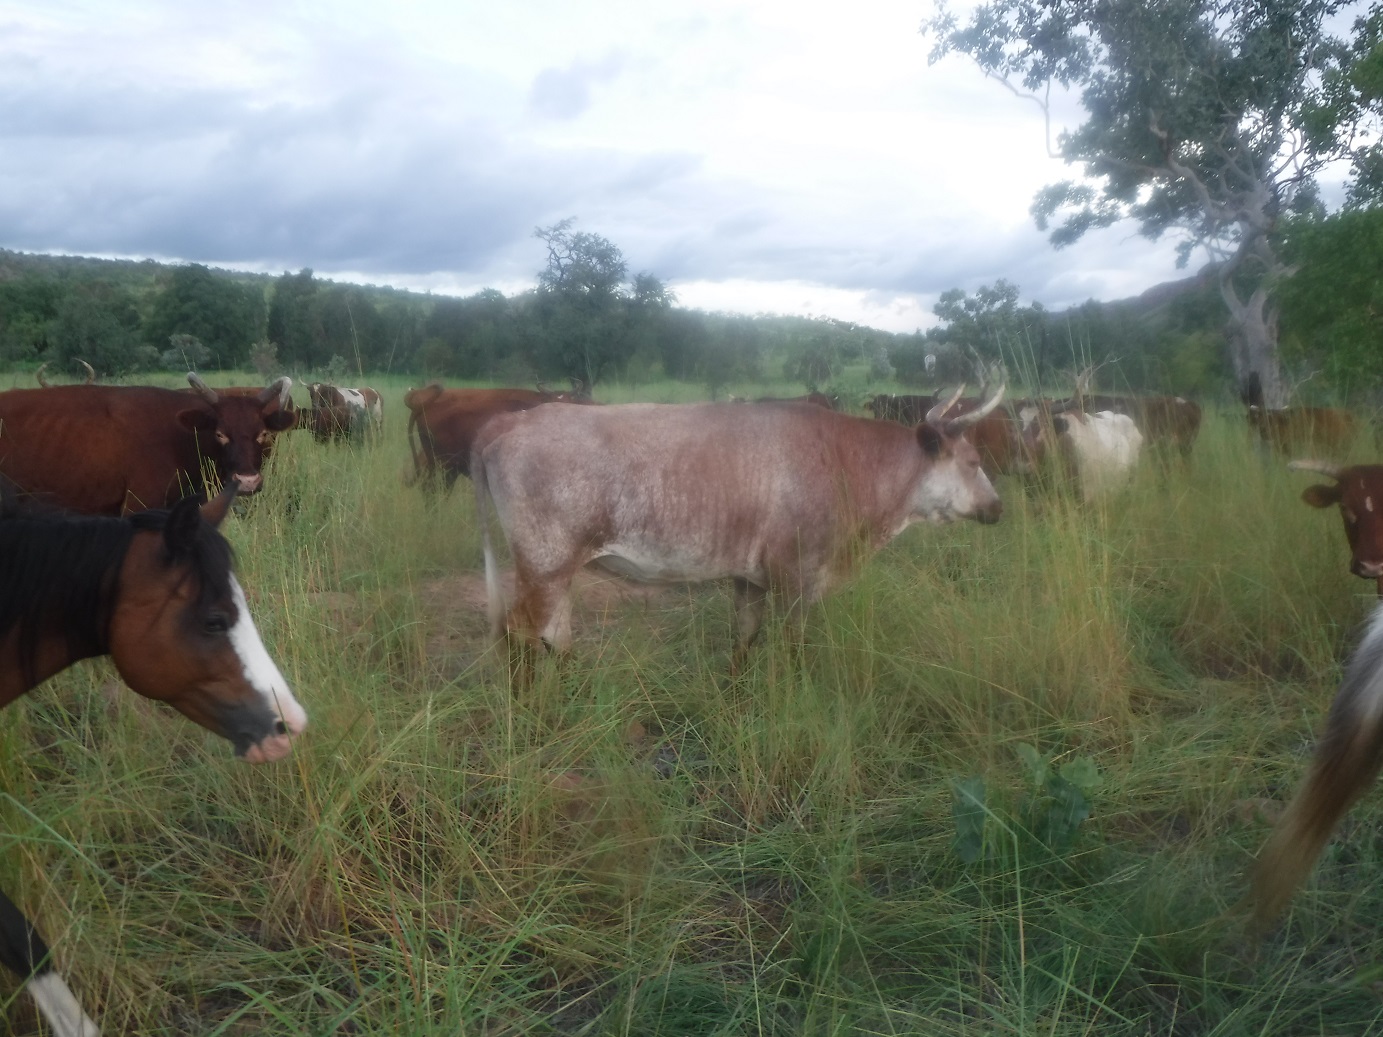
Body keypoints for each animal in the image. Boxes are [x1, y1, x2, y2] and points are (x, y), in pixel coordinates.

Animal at [475, 387, 1006, 685]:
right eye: (973, 461)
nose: (998, 507)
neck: (845, 461)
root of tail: (510, 421)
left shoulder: (751, 576)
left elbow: (745, 639)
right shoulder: (797, 575)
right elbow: (792, 648)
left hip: (556, 570)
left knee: (554, 635)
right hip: (543, 562)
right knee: (519, 634)